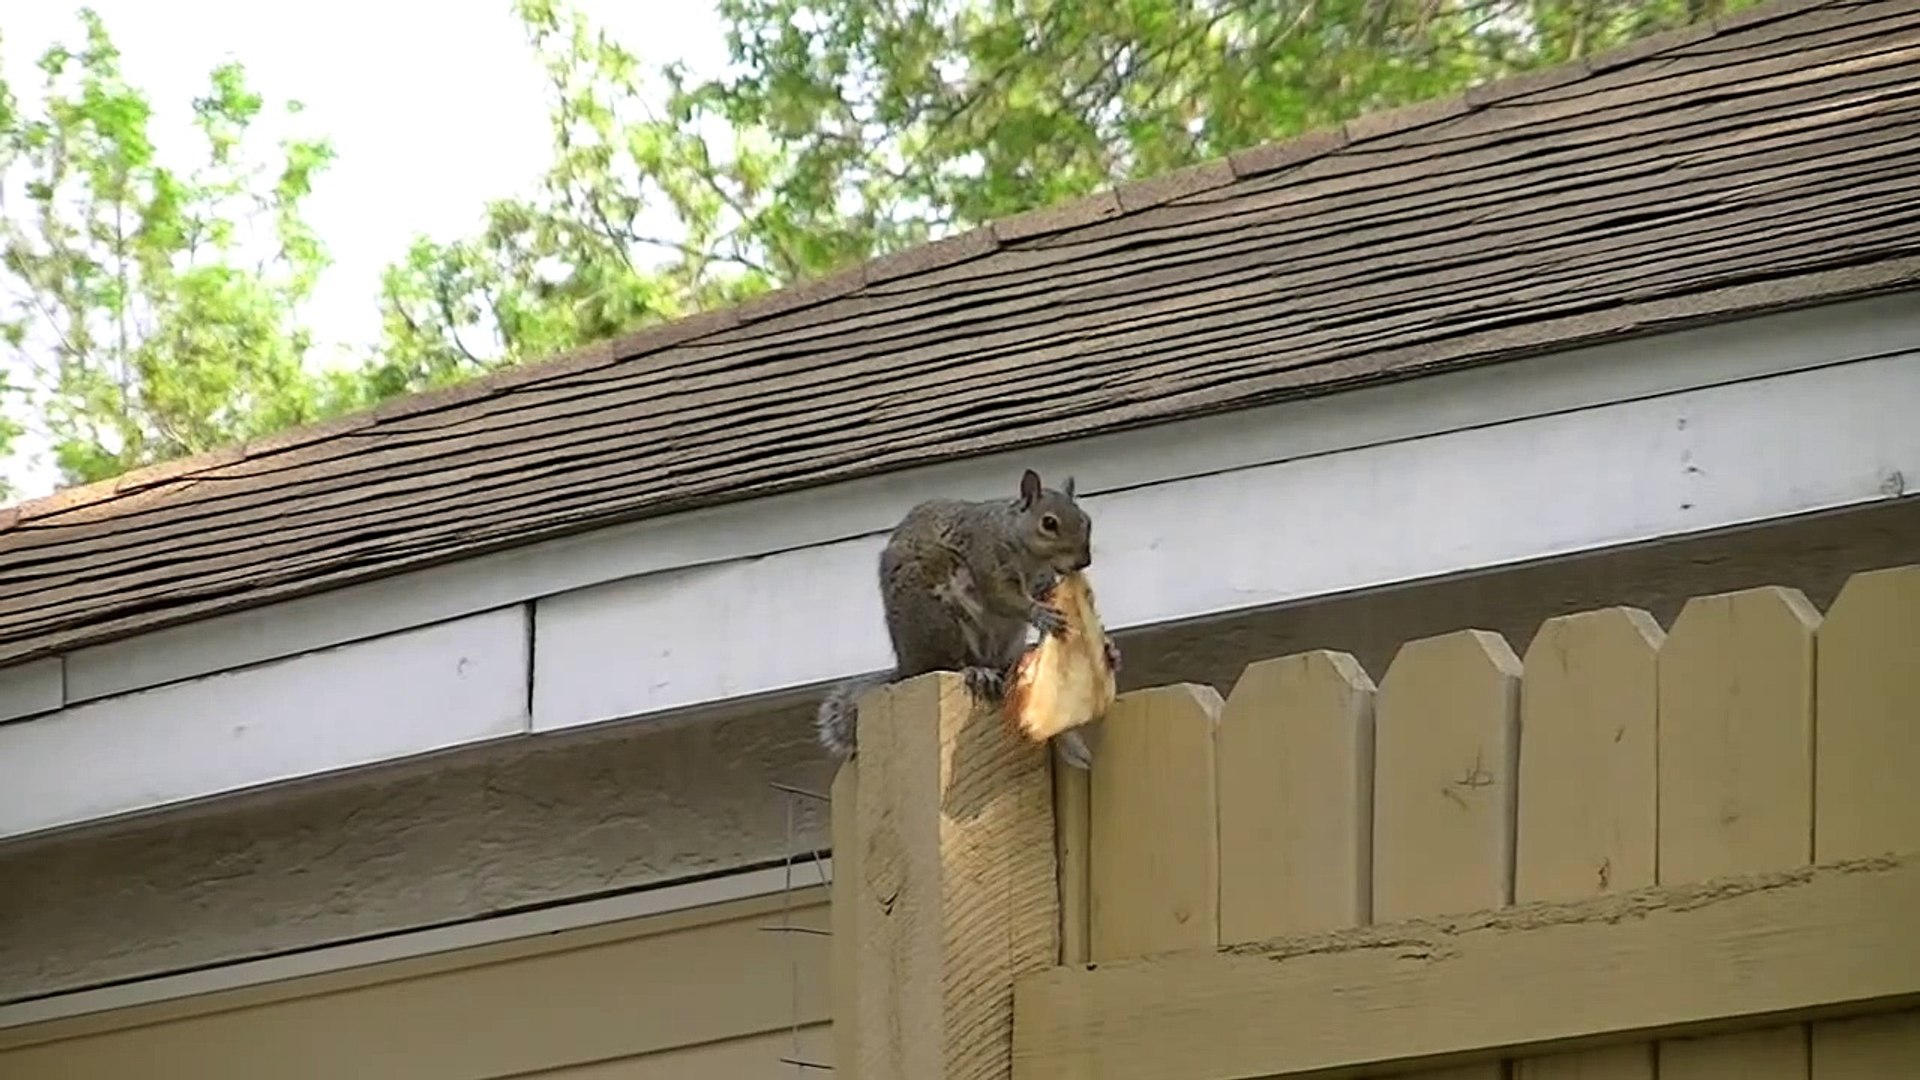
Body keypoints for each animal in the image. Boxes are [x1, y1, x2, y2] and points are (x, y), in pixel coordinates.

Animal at [814, 468, 1117, 766]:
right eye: (1049, 523)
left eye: (1086, 520)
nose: (1083, 561)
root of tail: (907, 667)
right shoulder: (987, 558)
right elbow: (1002, 597)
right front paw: (1041, 614)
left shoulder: (1042, 582)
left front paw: (1105, 645)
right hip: (939, 619)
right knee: (949, 662)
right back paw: (975, 671)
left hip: (1007, 638)